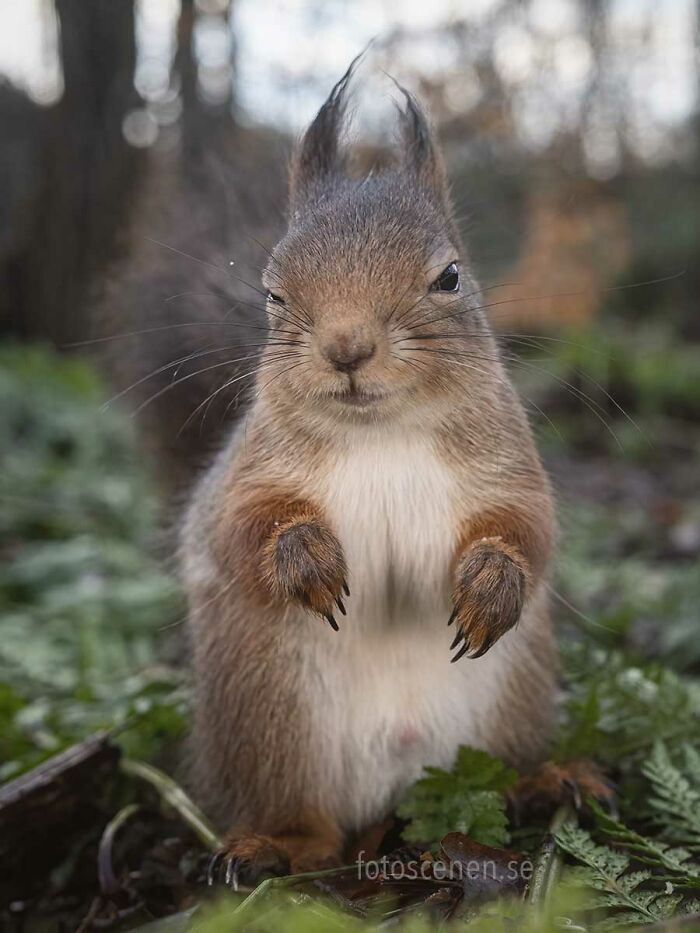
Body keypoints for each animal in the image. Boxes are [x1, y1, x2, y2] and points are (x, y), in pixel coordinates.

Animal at [172, 61, 557, 884]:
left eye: (450, 276)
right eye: (272, 292)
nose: (346, 348)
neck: (382, 431)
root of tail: (398, 783)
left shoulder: (509, 464)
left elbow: (530, 529)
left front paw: (493, 583)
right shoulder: (248, 470)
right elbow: (238, 528)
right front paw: (304, 559)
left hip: (511, 705)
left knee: (500, 773)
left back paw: (546, 782)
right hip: (272, 720)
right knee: (305, 822)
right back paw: (274, 846)